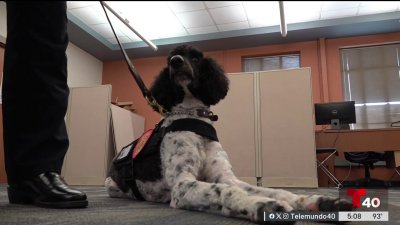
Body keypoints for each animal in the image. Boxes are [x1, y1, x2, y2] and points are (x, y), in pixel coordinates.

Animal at [104, 44, 352, 224]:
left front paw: (317, 201)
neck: (194, 116)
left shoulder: (225, 175)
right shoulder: (183, 185)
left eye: (195, 57)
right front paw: (261, 205)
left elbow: (273, 190)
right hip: (113, 186)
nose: (176, 62)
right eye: (170, 58)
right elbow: (223, 190)